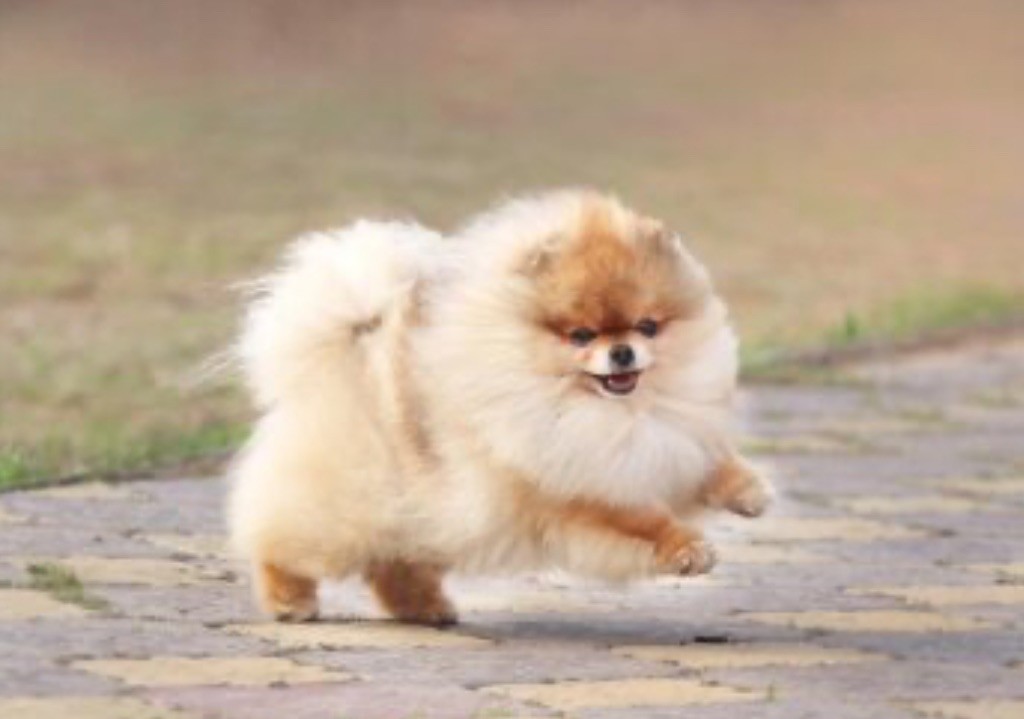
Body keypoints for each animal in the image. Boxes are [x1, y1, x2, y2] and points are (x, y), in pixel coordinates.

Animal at [228, 189, 771, 625]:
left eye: (648, 326)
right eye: (581, 335)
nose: (622, 352)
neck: (618, 412)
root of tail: (358, 334)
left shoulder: (662, 445)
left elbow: (711, 464)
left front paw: (750, 492)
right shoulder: (577, 485)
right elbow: (641, 521)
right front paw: (688, 550)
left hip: (428, 512)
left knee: (395, 563)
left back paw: (426, 609)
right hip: (353, 503)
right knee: (283, 540)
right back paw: (290, 600)